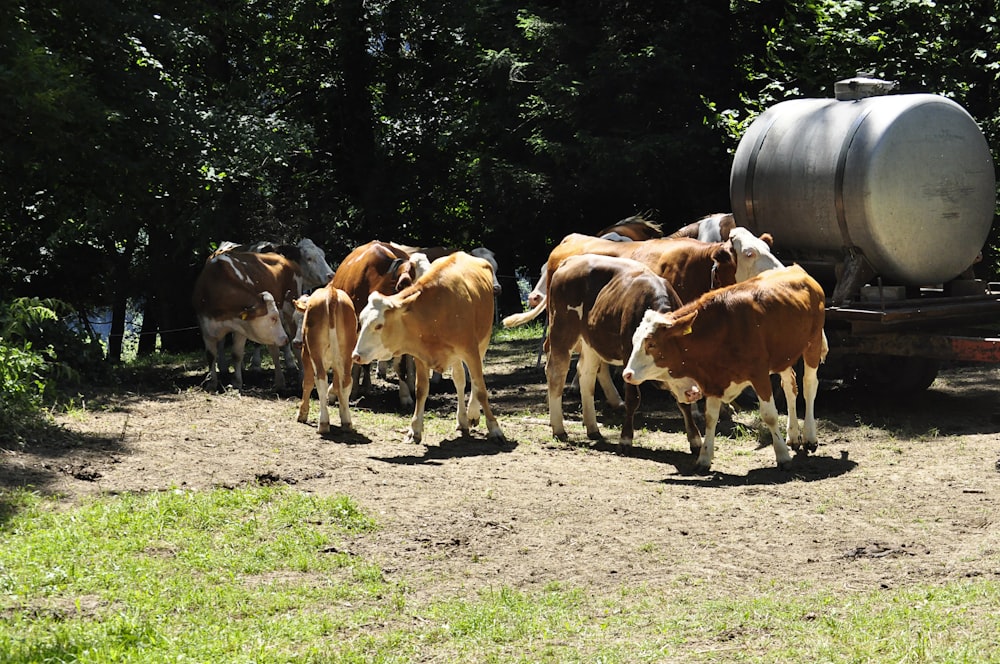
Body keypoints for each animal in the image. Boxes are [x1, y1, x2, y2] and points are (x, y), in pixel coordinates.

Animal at [191, 252, 300, 392]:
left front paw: (237, 382)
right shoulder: (206, 328)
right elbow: (210, 355)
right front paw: (211, 383)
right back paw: (280, 382)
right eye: (273, 318)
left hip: (290, 310)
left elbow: (237, 354)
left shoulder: (241, 328)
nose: (284, 338)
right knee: (274, 351)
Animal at [292, 286, 358, 436]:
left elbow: (307, 383)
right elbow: (338, 385)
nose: (296, 342)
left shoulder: (306, 354)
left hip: (315, 353)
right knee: (346, 382)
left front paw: (302, 413)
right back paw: (347, 422)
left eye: (299, 317)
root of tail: (331, 292)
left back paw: (323, 423)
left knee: (320, 380)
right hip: (347, 355)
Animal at [354, 253, 508, 446]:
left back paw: (472, 413)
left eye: (379, 325)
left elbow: (480, 389)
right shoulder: (420, 355)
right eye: (361, 320)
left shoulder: (470, 350)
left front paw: (495, 429)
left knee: (474, 382)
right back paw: (462, 419)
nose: (356, 355)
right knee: (459, 379)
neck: (435, 312)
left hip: (482, 342)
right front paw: (415, 429)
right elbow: (421, 390)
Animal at [544, 254, 700, 452]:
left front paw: (695, 439)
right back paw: (559, 429)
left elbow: (683, 403)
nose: (695, 392)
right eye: (646, 344)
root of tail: (572, 260)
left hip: (590, 340)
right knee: (557, 372)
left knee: (586, 374)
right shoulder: (628, 359)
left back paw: (593, 428)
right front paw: (626, 438)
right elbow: (633, 398)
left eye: (686, 349)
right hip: (562, 331)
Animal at [624, 264, 828, 472]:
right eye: (634, 341)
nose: (627, 374)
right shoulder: (714, 378)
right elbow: (710, 417)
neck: (722, 328)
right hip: (783, 356)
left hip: (813, 343)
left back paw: (810, 437)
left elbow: (769, 415)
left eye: (651, 344)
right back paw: (793, 435)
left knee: (809, 385)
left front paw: (782, 456)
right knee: (790, 387)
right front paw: (704, 458)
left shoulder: (759, 374)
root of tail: (798, 270)